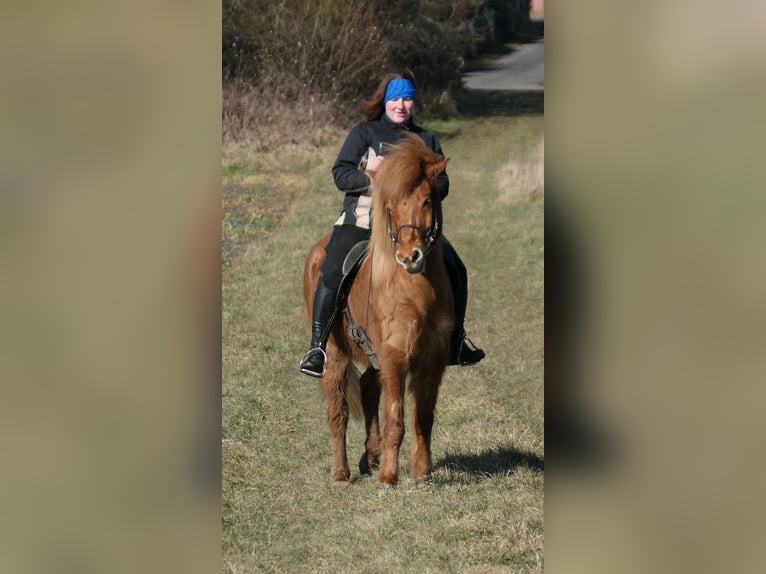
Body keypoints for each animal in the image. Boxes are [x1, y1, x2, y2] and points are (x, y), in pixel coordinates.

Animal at [302, 135, 456, 490]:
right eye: (391, 206)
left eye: (427, 201)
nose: (410, 256)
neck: (414, 291)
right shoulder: (395, 358)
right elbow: (395, 421)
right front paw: (389, 477)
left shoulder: (431, 361)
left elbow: (423, 419)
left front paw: (422, 473)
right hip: (335, 356)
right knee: (339, 414)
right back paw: (341, 474)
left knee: (368, 387)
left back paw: (370, 455)